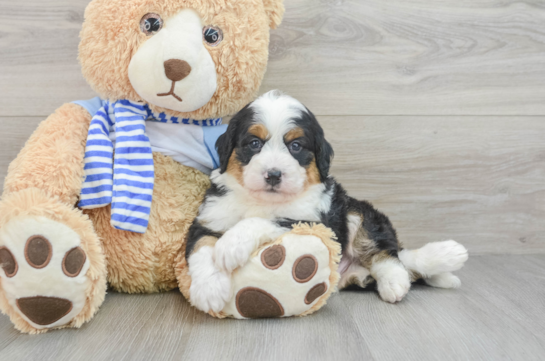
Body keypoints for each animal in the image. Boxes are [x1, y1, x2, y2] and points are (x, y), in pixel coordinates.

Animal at [185, 90, 466, 312]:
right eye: (254, 143)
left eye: (296, 146)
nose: (273, 174)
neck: (261, 200)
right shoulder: (208, 218)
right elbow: (202, 247)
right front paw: (209, 290)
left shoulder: (316, 222)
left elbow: (266, 220)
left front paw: (231, 245)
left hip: (357, 212)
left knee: (387, 254)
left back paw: (398, 280)